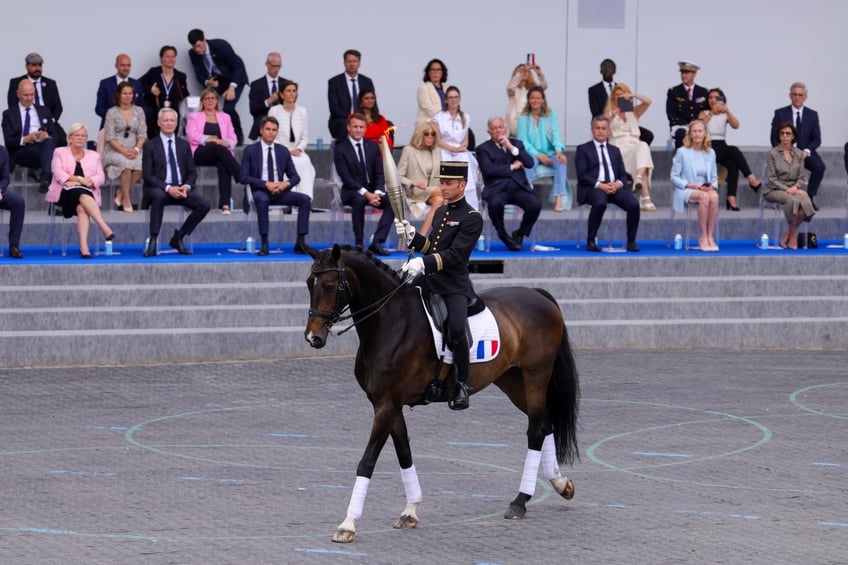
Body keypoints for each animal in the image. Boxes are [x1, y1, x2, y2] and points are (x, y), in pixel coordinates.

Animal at [302, 245, 580, 544]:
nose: (313, 338)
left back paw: (520, 501)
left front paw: (348, 525)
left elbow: (367, 462)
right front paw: (410, 510)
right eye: (309, 283)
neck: (392, 320)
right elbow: (404, 453)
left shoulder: (386, 405)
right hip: (513, 382)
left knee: (536, 430)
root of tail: (536, 294)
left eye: (330, 286)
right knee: (544, 423)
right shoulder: (390, 404)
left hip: (535, 377)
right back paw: (560, 484)